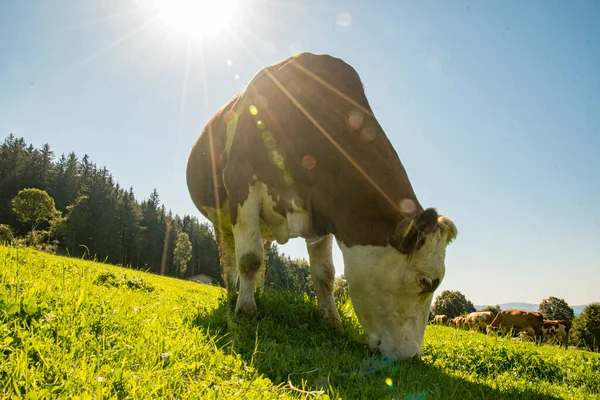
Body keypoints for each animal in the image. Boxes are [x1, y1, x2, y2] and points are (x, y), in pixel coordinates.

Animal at [185, 51, 458, 360]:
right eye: (426, 281)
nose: (411, 355)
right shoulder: (243, 185)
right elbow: (249, 258)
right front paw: (245, 308)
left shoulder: (323, 210)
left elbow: (324, 273)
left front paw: (331, 320)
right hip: (221, 219)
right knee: (231, 255)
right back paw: (235, 292)